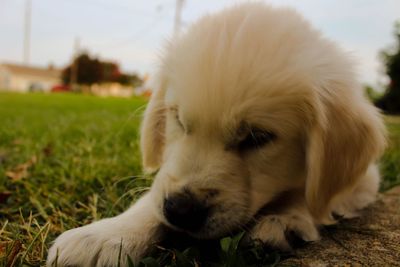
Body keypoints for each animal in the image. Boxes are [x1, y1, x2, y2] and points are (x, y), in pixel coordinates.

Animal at [47, 3, 388, 266]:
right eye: (178, 119)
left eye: (258, 137)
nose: (180, 210)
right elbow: (153, 195)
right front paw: (107, 235)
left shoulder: (366, 179)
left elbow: (309, 193)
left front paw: (285, 219)